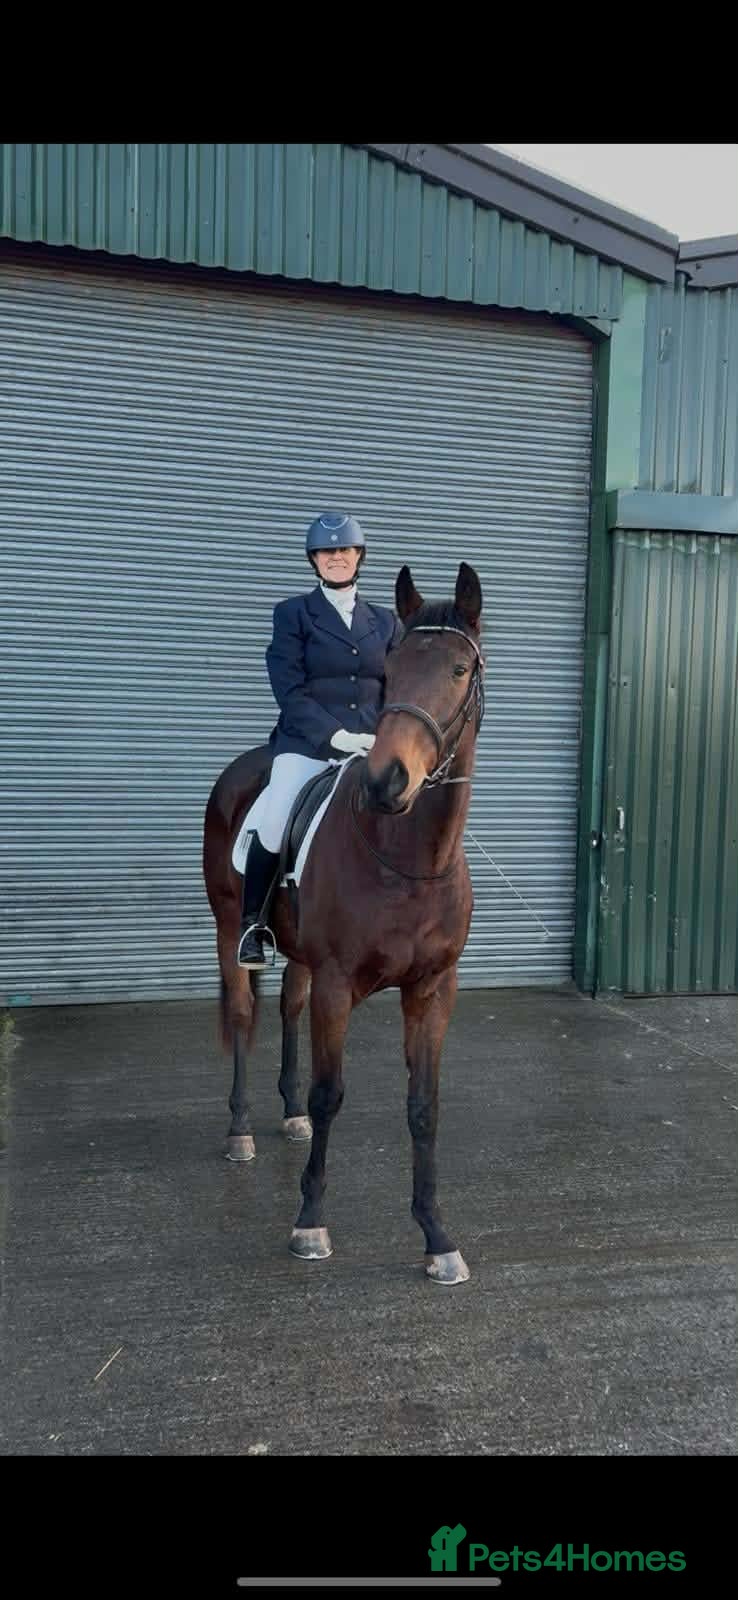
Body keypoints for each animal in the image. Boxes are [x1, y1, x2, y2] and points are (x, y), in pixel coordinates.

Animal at [202, 561, 484, 1285]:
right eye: (392, 667)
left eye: (459, 669)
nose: (386, 781)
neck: (407, 857)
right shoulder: (338, 984)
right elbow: (332, 1093)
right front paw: (309, 1222)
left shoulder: (433, 990)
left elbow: (423, 1105)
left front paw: (436, 1236)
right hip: (227, 927)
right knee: (242, 1014)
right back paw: (240, 1129)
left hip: (300, 956)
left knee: (287, 1008)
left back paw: (290, 1114)